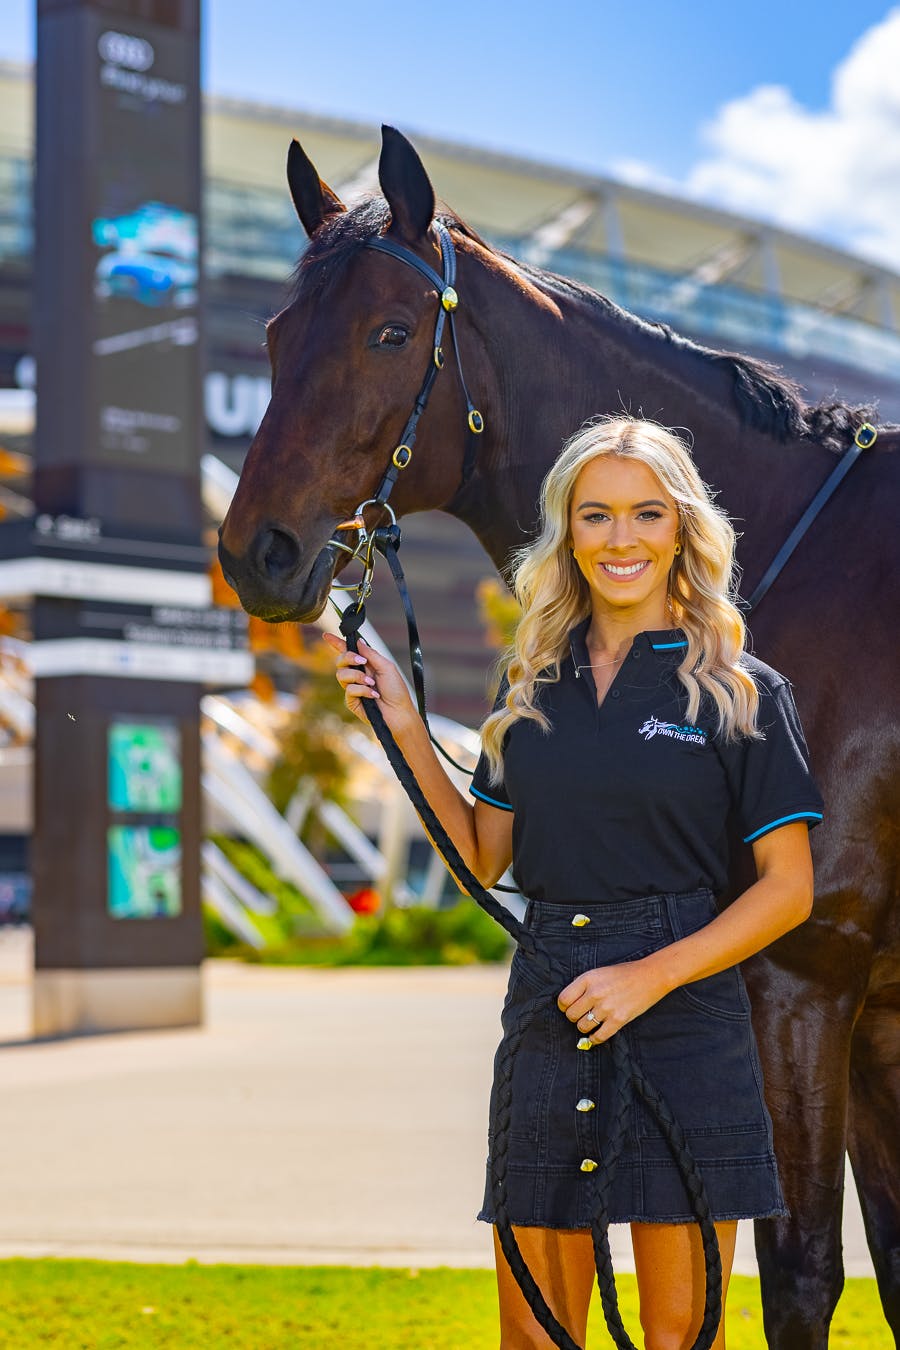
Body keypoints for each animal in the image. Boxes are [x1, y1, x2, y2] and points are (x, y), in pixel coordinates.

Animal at [219, 126, 900, 1350]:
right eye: (276, 336)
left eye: (390, 332)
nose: (259, 550)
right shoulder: (880, 1010)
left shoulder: (806, 978)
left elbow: (801, 1272)